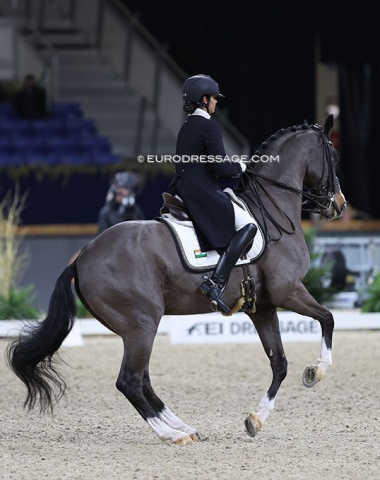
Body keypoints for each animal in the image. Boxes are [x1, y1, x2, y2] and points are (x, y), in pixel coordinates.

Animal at [5, 116, 348, 446]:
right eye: (333, 156)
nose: (339, 204)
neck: (271, 211)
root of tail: (81, 258)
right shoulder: (287, 291)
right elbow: (328, 319)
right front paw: (316, 371)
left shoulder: (262, 307)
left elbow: (280, 363)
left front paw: (256, 418)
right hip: (142, 324)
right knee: (130, 381)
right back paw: (172, 434)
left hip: (134, 329)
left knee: (143, 380)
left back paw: (185, 427)